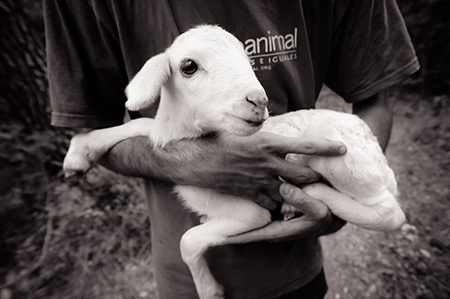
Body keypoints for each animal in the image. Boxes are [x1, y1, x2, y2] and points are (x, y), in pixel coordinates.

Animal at [64, 25, 408, 299]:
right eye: (188, 66)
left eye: (248, 60)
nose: (259, 101)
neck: (187, 136)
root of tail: (378, 153)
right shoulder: (162, 136)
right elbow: (137, 125)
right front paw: (78, 153)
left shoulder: (248, 213)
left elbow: (188, 241)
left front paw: (209, 290)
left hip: (340, 156)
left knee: (390, 213)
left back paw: (309, 195)